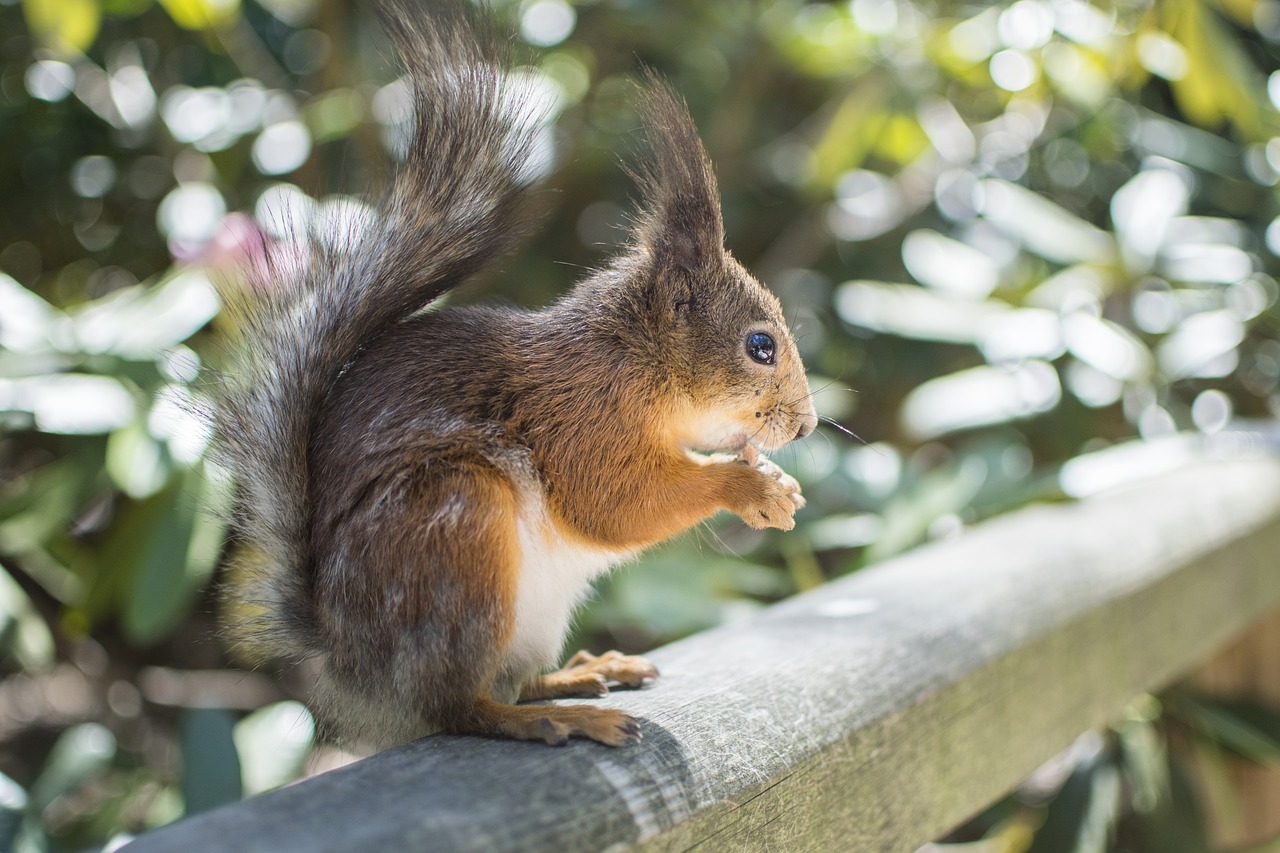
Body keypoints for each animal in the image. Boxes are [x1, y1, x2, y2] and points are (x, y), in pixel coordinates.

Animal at [217, 0, 819, 747]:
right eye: (760, 346)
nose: (807, 425)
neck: (635, 357)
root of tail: (350, 661)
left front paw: (777, 481)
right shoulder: (581, 415)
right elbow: (612, 502)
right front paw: (748, 485)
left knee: (505, 679)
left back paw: (579, 676)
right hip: (455, 527)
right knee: (456, 706)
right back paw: (547, 720)